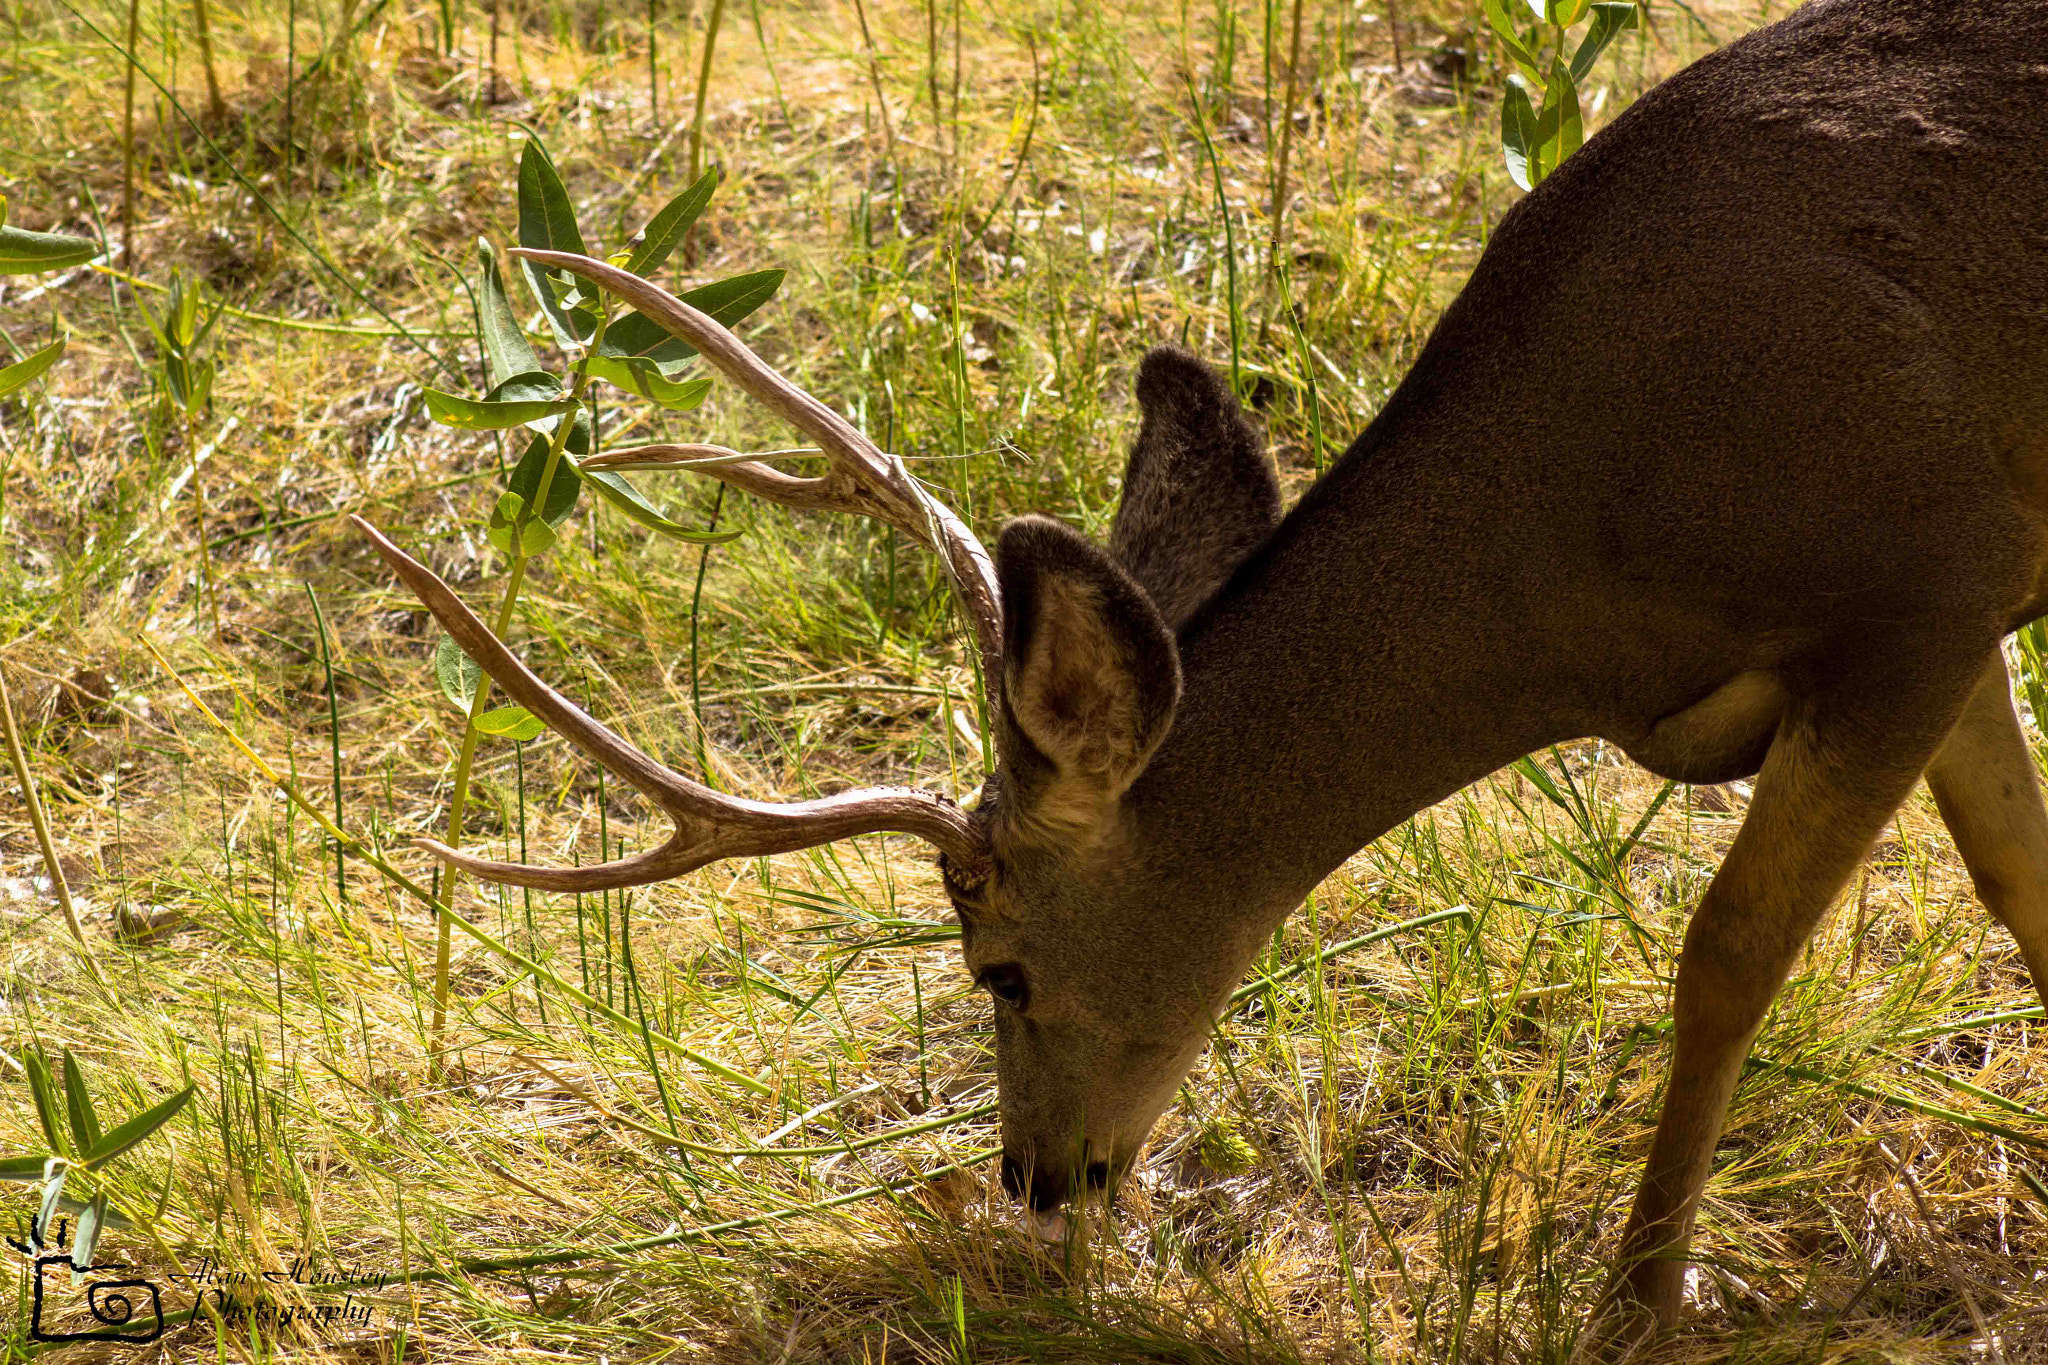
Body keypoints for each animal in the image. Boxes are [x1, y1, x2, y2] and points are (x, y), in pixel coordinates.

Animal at [353, 0, 2048, 1342]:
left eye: (1000, 965)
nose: (1039, 1178)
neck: (1588, 550)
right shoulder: (1958, 621)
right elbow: (2020, 877)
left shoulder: (1927, 576)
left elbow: (1729, 955)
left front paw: (1640, 1302)